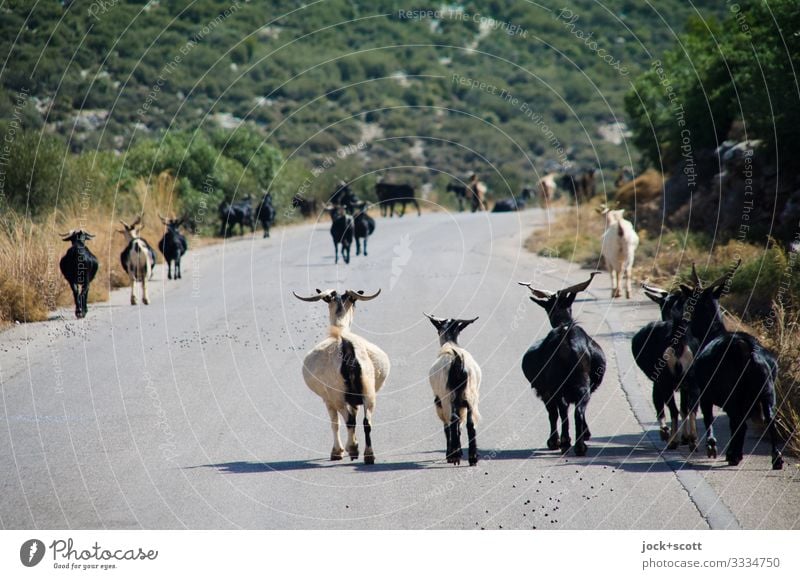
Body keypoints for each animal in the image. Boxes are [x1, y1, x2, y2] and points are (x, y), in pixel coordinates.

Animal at [296, 288, 392, 464]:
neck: (340, 329)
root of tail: (347, 347)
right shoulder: (354, 399)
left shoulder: (327, 399)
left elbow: (335, 423)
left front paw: (337, 452)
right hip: (368, 392)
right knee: (366, 422)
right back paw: (368, 454)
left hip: (337, 395)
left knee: (348, 421)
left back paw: (353, 449)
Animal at [424, 312, 482, 466]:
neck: (450, 343)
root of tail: (458, 361)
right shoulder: (462, 402)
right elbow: (461, 425)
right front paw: (459, 451)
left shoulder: (440, 401)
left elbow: (447, 426)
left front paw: (451, 453)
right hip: (470, 397)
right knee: (470, 424)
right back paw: (473, 458)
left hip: (447, 397)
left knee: (452, 420)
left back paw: (454, 457)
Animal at [520, 272, 608, 458]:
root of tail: (567, 340)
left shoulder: (546, 390)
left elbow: (553, 413)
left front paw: (554, 441)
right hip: (580, 385)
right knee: (577, 410)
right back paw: (579, 445)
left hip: (557, 386)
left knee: (563, 410)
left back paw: (567, 442)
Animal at [636, 284, 696, 450]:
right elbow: (684, 409)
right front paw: (685, 437)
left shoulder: (657, 382)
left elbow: (659, 407)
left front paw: (665, 432)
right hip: (690, 380)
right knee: (690, 408)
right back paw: (693, 440)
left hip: (666, 382)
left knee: (673, 410)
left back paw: (673, 441)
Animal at [680, 262, 784, 472]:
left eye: (692, 302)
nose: (686, 323)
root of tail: (745, 349)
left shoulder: (705, 392)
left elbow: (709, 417)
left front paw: (713, 446)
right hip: (767, 389)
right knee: (769, 419)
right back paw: (776, 458)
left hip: (731, 391)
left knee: (737, 421)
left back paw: (731, 454)